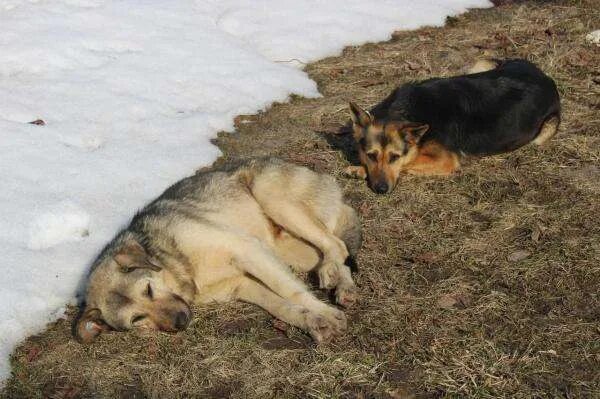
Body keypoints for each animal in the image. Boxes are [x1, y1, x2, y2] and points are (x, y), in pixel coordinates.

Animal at [72, 158, 358, 346]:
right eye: (137, 318)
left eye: (148, 289)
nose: (181, 321)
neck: (183, 267)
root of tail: (326, 180)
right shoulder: (241, 285)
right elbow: (281, 306)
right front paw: (314, 322)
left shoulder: (248, 249)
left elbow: (291, 291)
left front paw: (326, 313)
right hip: (293, 252)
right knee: (338, 249)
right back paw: (343, 285)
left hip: (270, 196)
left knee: (336, 244)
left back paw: (332, 274)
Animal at [346, 59, 564, 195]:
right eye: (371, 155)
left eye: (394, 157)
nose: (381, 190)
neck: (406, 109)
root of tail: (546, 78)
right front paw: (361, 169)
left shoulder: (445, 159)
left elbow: (408, 163)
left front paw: (360, 170)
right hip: (481, 64)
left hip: (544, 131)